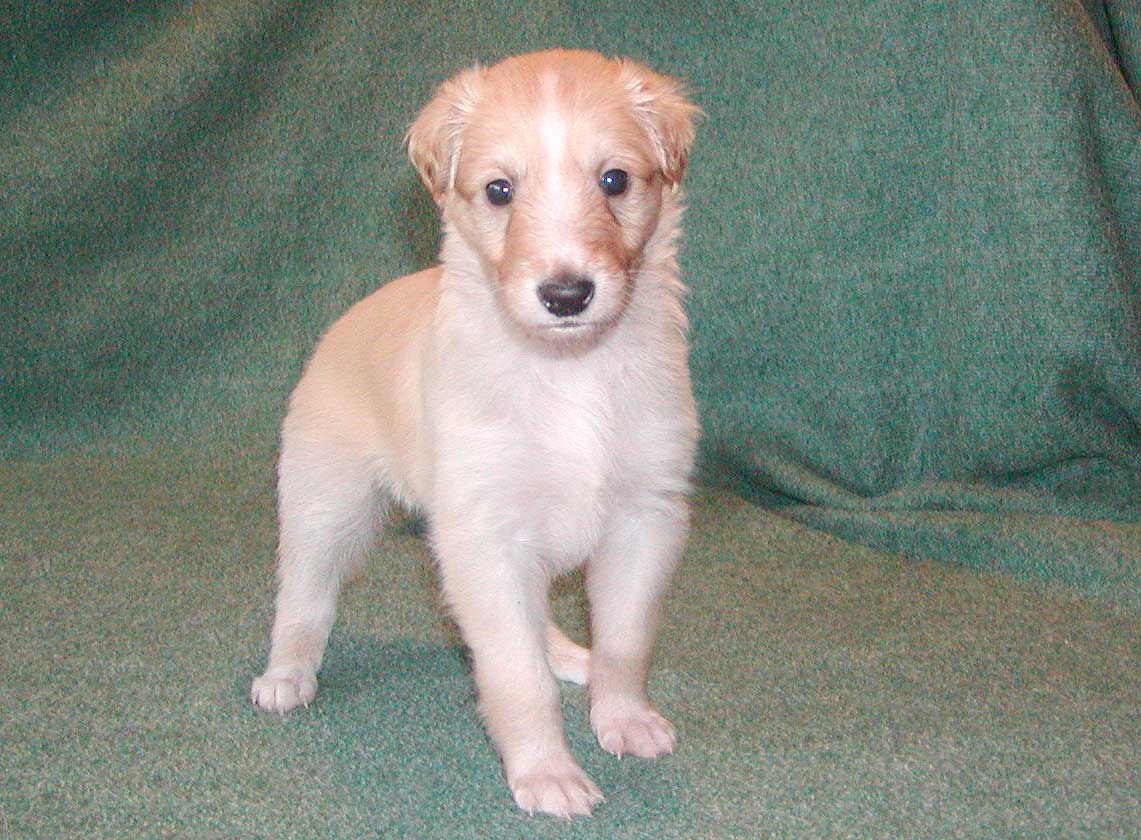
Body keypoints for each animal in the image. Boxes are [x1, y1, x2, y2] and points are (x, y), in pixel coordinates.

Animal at [251, 48, 699, 818]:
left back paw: (569, 655)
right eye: (499, 190)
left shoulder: (644, 517)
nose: (566, 296)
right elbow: (516, 676)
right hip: (324, 503)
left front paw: (624, 720)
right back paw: (286, 676)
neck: (569, 372)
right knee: (303, 596)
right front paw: (547, 774)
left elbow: (625, 640)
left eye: (613, 180)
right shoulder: (486, 534)